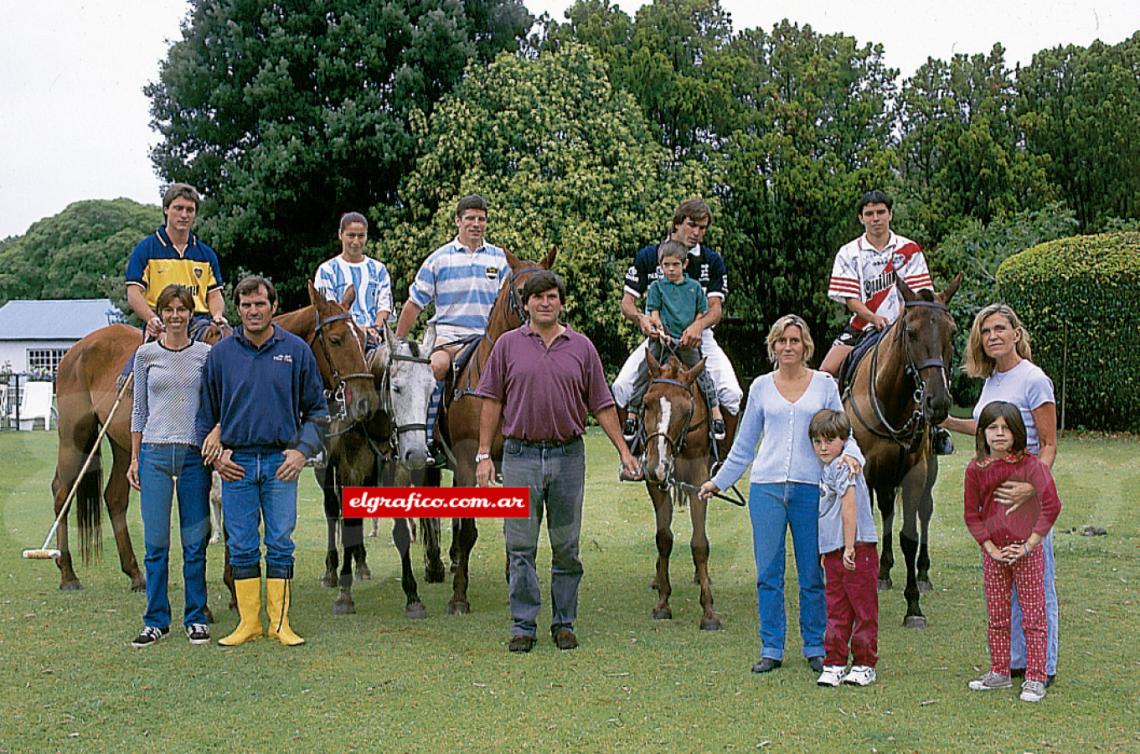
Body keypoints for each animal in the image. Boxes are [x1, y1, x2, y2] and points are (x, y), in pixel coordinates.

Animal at [51, 279, 376, 593]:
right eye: (335, 340)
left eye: (362, 338)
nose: (365, 401)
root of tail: (74, 352)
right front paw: (232, 585)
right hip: (75, 436)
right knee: (62, 491)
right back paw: (67, 573)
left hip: (123, 444)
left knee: (115, 497)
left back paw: (135, 574)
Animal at [642, 351, 720, 629]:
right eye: (646, 403)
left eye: (687, 411)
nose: (657, 466)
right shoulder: (655, 482)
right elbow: (663, 538)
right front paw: (663, 602)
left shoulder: (699, 479)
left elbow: (700, 544)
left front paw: (708, 611)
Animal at [843, 273, 957, 625]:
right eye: (911, 331)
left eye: (952, 332)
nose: (938, 401)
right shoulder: (866, 471)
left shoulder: (914, 472)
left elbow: (909, 535)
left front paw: (914, 606)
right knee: (885, 512)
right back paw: (882, 571)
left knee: (924, 512)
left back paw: (922, 572)